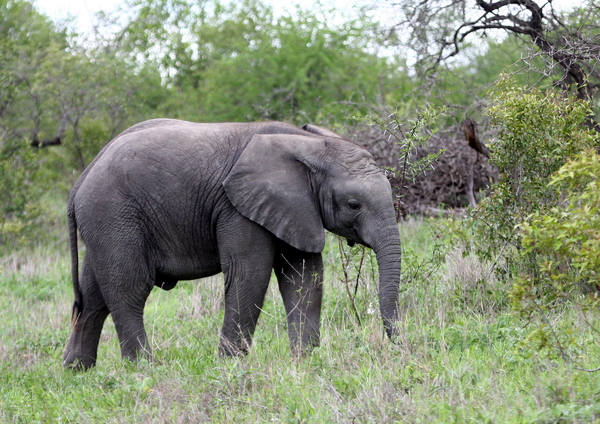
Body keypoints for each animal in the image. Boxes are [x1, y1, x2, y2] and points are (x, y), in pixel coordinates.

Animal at [63, 118, 400, 368]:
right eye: (354, 205)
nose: (398, 348)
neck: (308, 144)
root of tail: (80, 180)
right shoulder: (237, 207)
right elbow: (249, 274)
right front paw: (230, 366)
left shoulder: (295, 207)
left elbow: (304, 276)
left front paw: (304, 361)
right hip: (113, 214)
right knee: (129, 291)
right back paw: (143, 369)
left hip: (104, 223)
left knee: (93, 298)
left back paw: (77, 371)